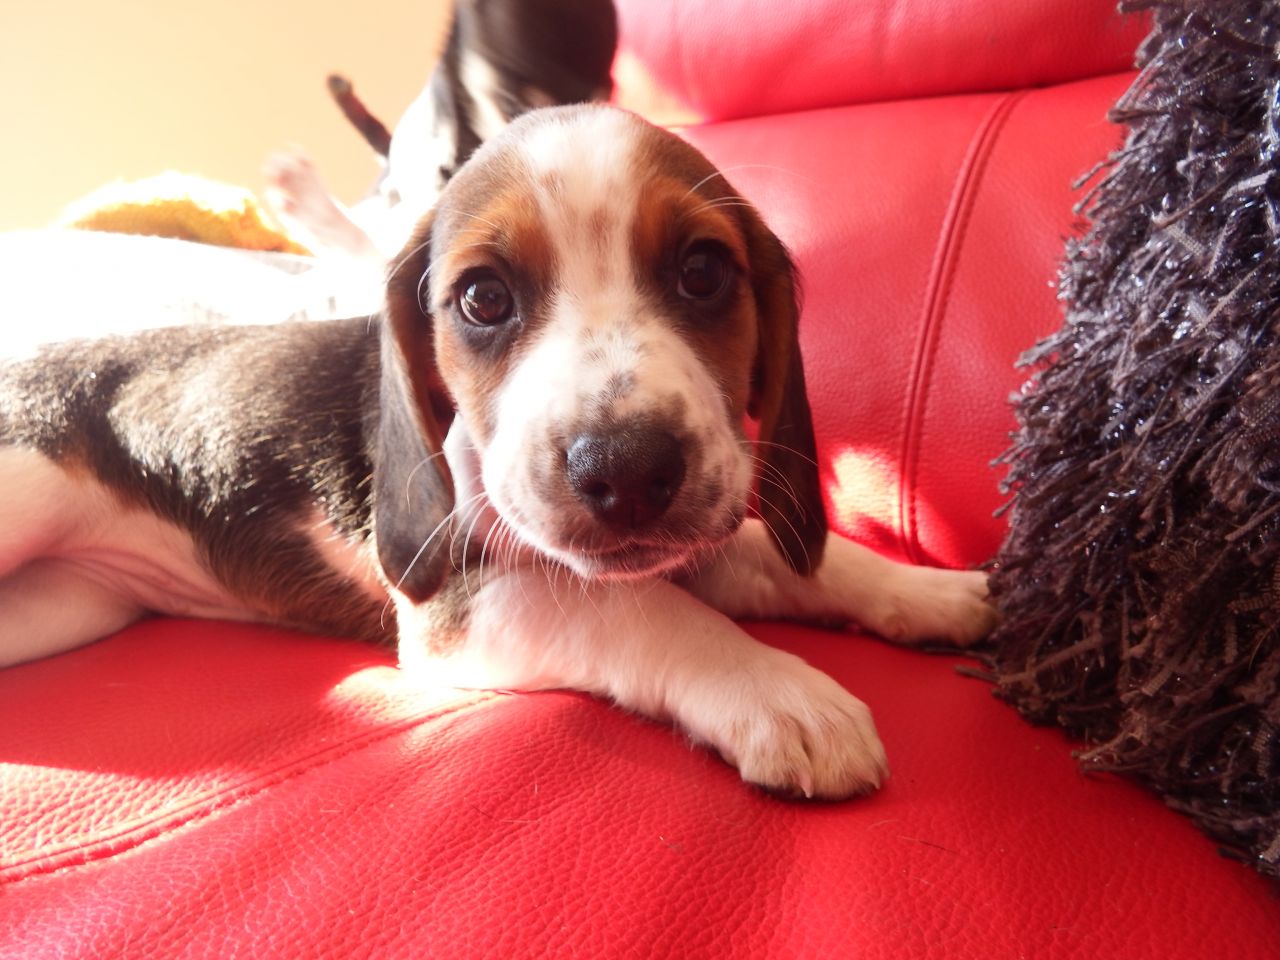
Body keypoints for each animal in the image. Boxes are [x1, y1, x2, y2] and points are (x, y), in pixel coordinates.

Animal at [0, 104, 993, 798]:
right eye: (482, 298)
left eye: (704, 272)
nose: (628, 469)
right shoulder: (458, 609)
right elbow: (641, 613)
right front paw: (778, 688)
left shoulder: (691, 545)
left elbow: (805, 561)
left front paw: (940, 592)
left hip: (63, 608)